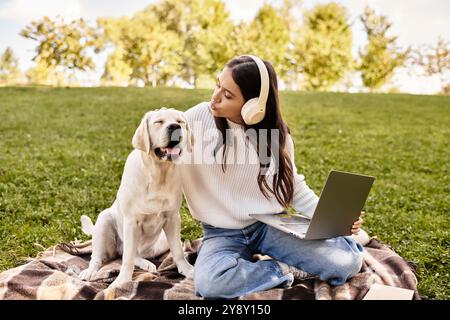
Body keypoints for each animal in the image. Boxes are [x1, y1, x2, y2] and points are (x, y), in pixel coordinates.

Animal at [78, 108, 193, 290]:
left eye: (180, 121)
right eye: (159, 122)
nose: (175, 127)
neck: (158, 174)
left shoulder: (173, 218)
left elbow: (178, 250)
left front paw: (186, 269)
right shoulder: (132, 221)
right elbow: (127, 260)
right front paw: (122, 281)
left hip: (161, 242)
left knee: (133, 253)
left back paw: (146, 263)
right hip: (104, 220)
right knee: (104, 256)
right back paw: (90, 271)